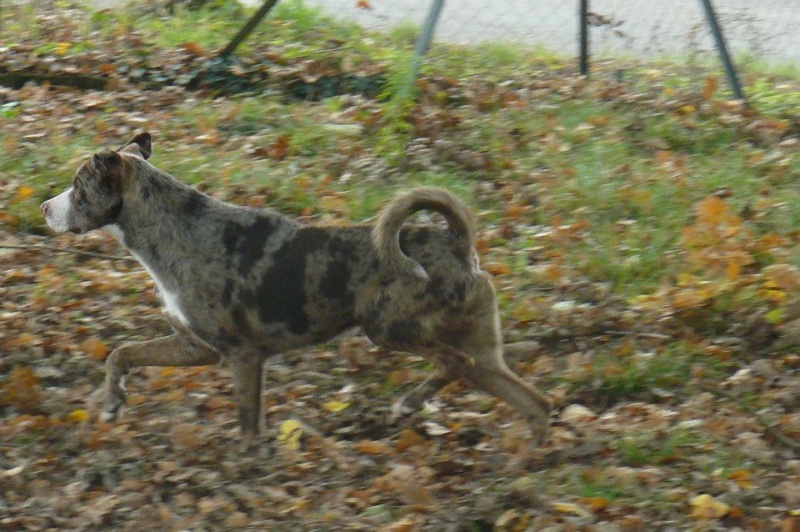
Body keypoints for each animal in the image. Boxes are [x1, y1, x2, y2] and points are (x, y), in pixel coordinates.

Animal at [40, 133, 552, 444]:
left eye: (78, 187)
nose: (45, 207)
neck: (173, 229)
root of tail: (458, 241)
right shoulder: (195, 346)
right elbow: (120, 354)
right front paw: (111, 403)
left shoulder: (242, 355)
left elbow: (249, 424)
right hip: (481, 351)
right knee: (533, 400)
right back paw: (528, 468)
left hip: (390, 328)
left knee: (457, 363)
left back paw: (411, 402)